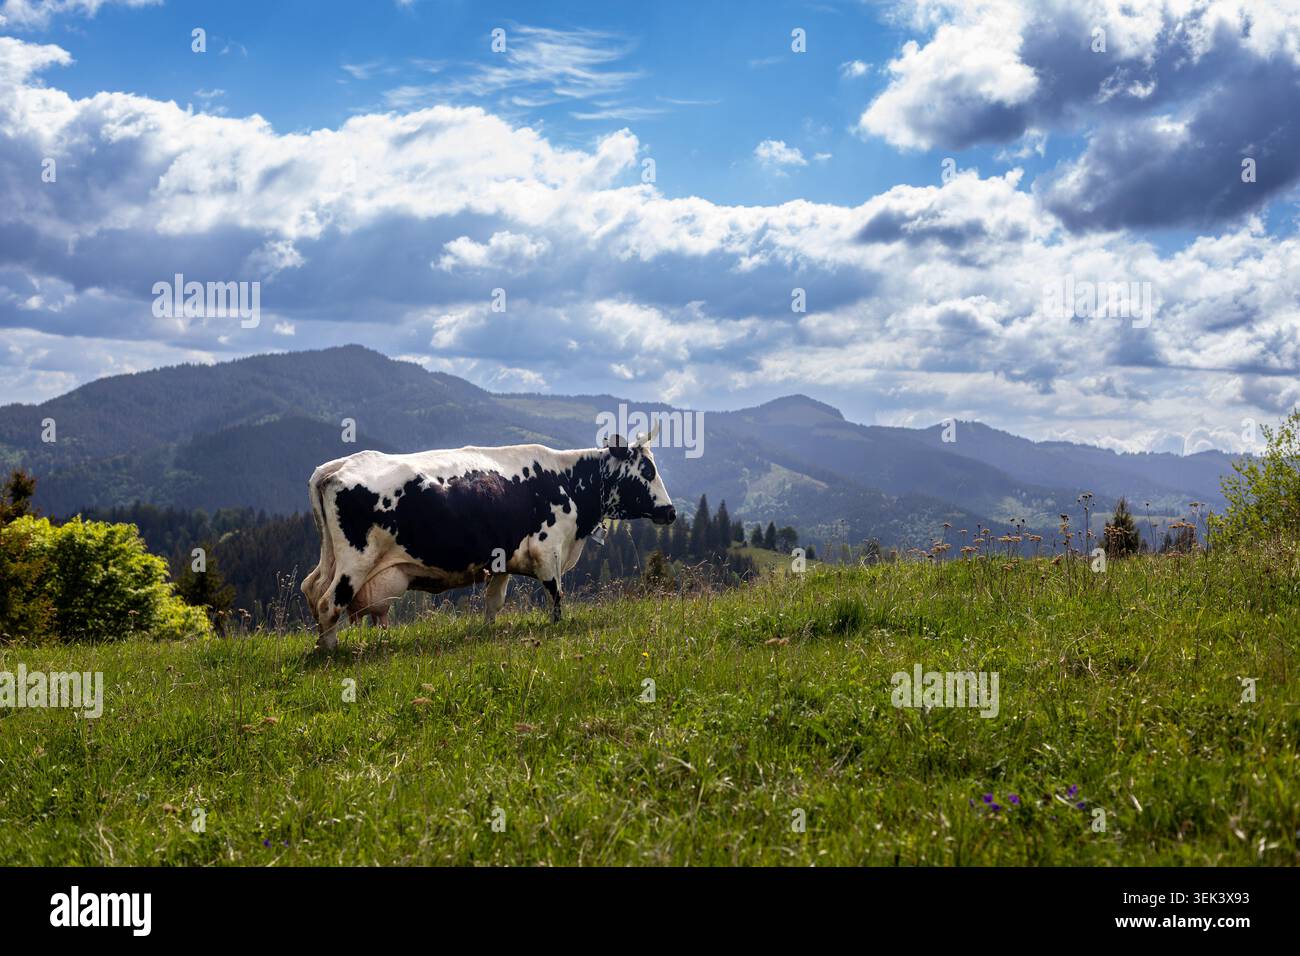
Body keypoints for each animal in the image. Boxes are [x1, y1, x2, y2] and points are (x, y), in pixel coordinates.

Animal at [301, 427, 676, 650]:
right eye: (648, 471)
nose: (671, 511)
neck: (568, 480)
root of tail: (337, 466)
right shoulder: (548, 550)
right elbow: (556, 596)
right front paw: (557, 626)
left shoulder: (503, 560)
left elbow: (494, 603)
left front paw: (487, 632)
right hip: (356, 560)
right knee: (329, 602)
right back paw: (331, 651)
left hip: (331, 559)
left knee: (311, 589)